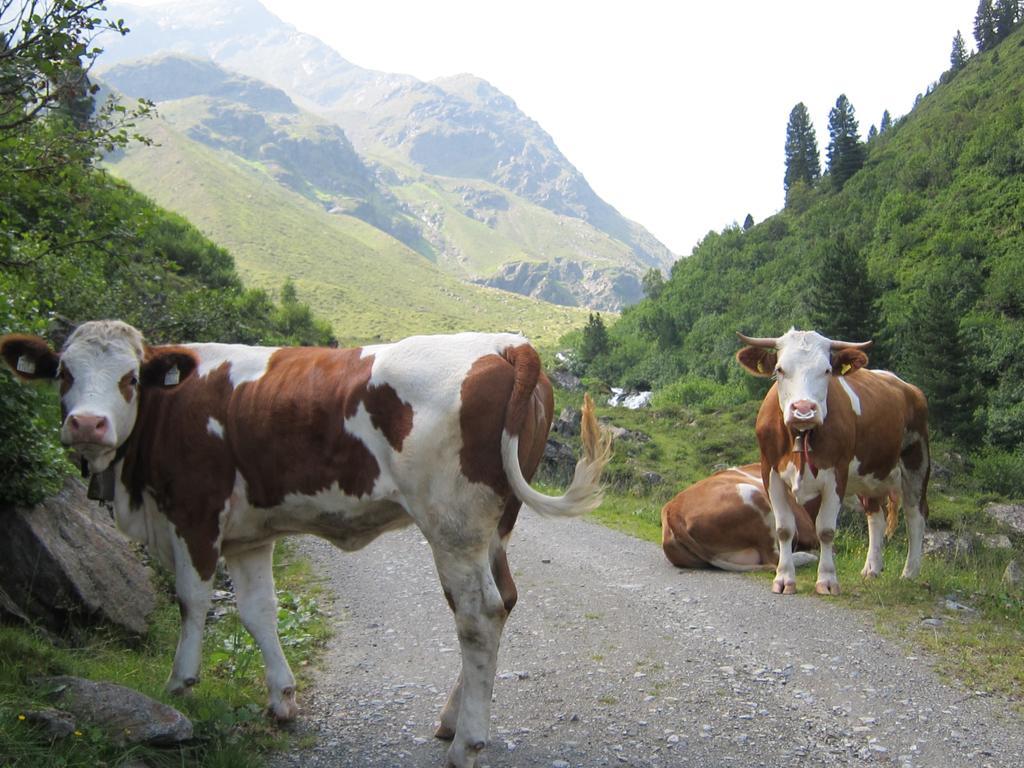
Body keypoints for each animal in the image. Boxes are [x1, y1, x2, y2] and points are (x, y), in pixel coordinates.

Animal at [2, 319, 606, 768]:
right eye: (64, 373)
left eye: (129, 378)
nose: (87, 424)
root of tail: (508, 344)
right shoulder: (247, 535)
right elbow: (256, 611)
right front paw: (281, 700)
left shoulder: (195, 512)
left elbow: (192, 601)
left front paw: (180, 685)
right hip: (492, 526)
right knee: (502, 601)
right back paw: (452, 720)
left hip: (453, 524)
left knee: (477, 615)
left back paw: (467, 743)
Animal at [733, 327, 933, 598]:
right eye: (780, 369)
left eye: (827, 370)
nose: (803, 409)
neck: (801, 435)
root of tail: (907, 387)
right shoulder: (770, 472)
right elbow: (784, 528)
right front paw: (784, 579)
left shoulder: (836, 474)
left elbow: (826, 530)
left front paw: (827, 580)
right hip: (868, 477)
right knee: (876, 516)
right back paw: (872, 568)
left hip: (917, 459)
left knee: (915, 514)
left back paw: (909, 573)